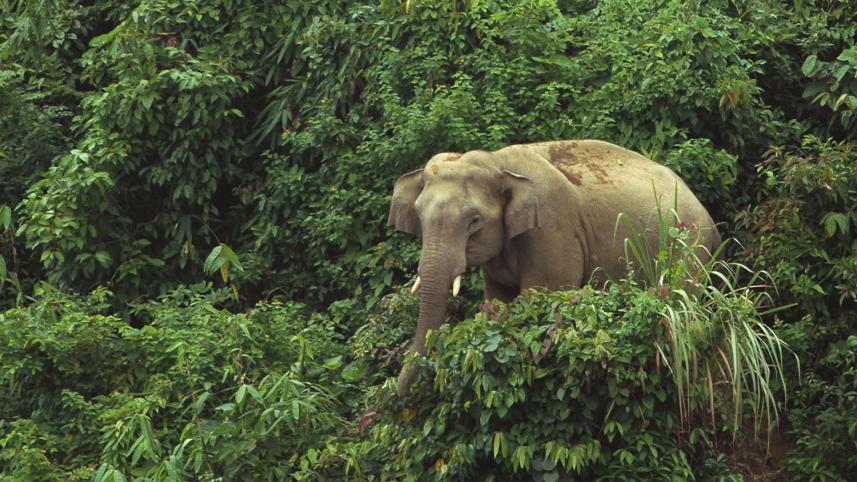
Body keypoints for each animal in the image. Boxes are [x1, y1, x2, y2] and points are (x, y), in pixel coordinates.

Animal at [387, 139, 720, 396]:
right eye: (418, 215)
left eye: (474, 221)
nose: (402, 394)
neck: (498, 162)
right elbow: (497, 302)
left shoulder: (552, 229)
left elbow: (539, 298)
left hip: (689, 249)